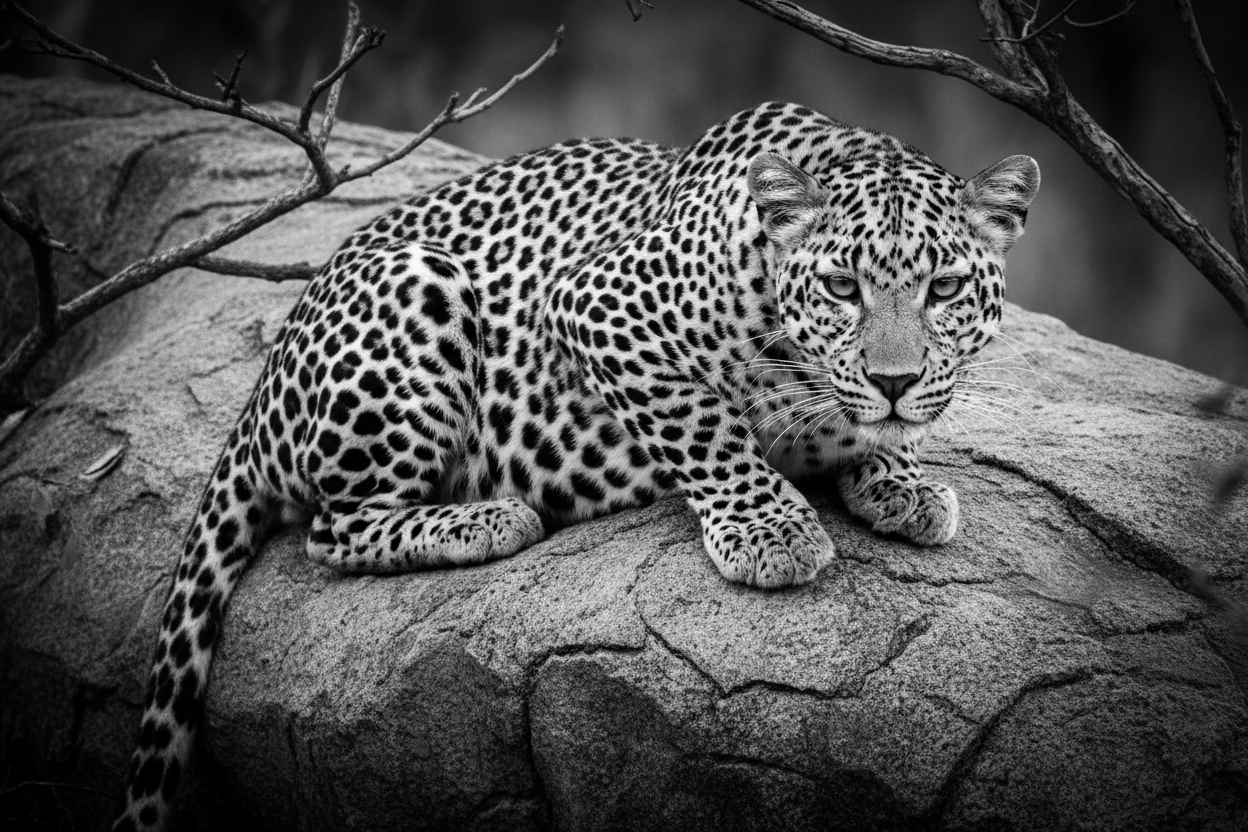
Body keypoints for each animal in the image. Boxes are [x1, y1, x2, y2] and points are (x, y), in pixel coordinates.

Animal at [111, 100, 1039, 830]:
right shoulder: (598, 304)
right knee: (335, 528)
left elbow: (884, 430)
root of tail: (263, 379)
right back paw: (489, 518)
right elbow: (704, 425)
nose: (894, 380)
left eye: (946, 290)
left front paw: (902, 481)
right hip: (418, 292)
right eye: (843, 288)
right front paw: (770, 528)